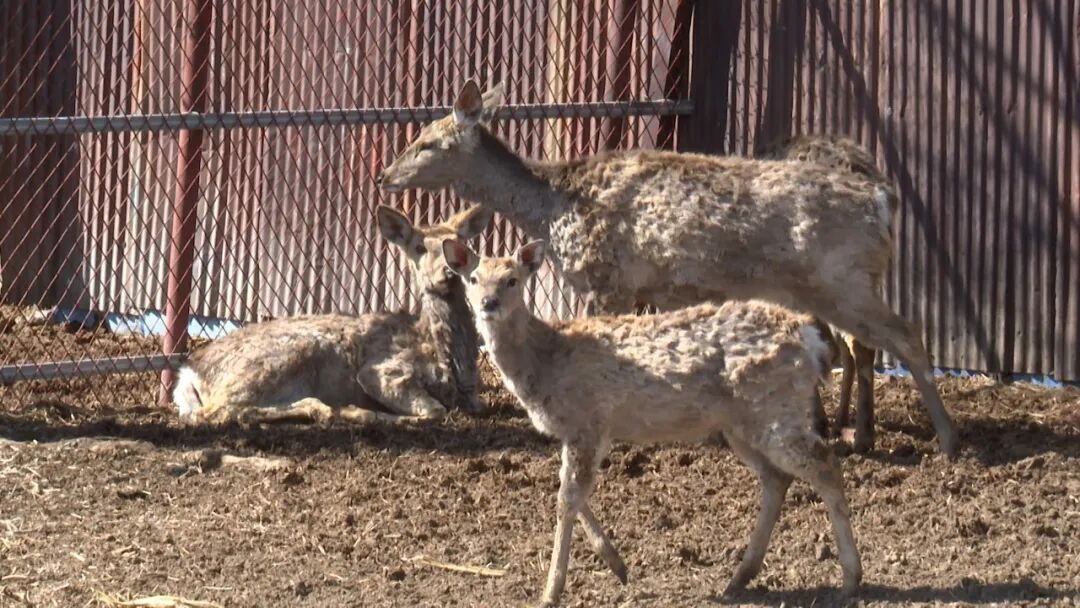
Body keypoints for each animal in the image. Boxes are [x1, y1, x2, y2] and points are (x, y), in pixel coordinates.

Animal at [171, 204, 491, 425]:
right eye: (419, 247)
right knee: (214, 411)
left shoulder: (473, 396)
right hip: (279, 358)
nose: (448, 273)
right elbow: (434, 410)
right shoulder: (381, 371)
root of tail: (189, 373)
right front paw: (364, 412)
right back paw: (338, 411)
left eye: (461, 242)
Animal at [377, 80, 958, 457]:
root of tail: (883, 200)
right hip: (832, 285)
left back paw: (945, 439)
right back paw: (858, 431)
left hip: (843, 278)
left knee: (903, 335)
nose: (384, 174)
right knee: (861, 345)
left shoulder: (606, 276)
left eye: (426, 141)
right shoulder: (650, 290)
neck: (553, 205)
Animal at [442, 238, 863, 606]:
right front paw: (618, 566)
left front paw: (551, 592)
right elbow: (571, 494)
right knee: (778, 478)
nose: (489, 303)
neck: (545, 362)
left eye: (512, 279)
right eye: (473, 278)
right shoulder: (581, 431)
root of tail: (809, 338)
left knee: (824, 463)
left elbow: (566, 499)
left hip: (774, 407)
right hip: (742, 422)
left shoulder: (588, 420)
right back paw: (739, 578)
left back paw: (850, 578)